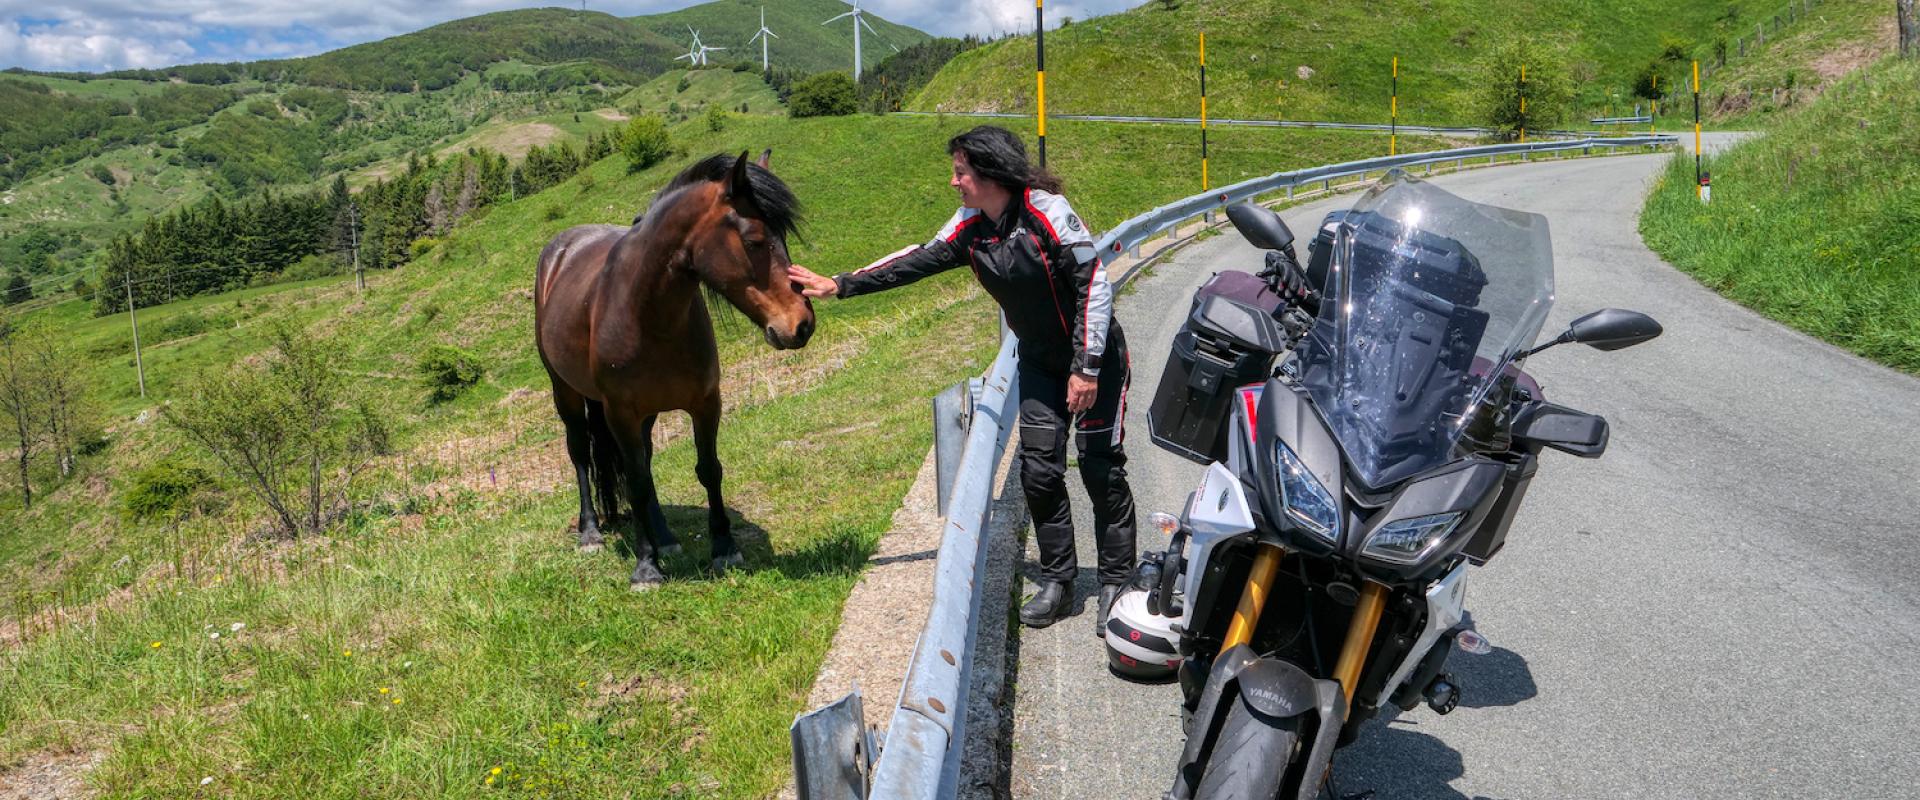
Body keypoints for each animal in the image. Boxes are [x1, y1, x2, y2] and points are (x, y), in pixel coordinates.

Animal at [537, 151, 814, 587]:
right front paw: (646, 567)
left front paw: (724, 549)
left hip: (646, 414)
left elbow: (707, 469)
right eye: (754, 240)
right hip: (565, 392)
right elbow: (634, 481)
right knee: (581, 453)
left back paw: (665, 537)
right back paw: (591, 533)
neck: (647, 313)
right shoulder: (620, 412)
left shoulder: (705, 402)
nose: (802, 325)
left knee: (645, 463)